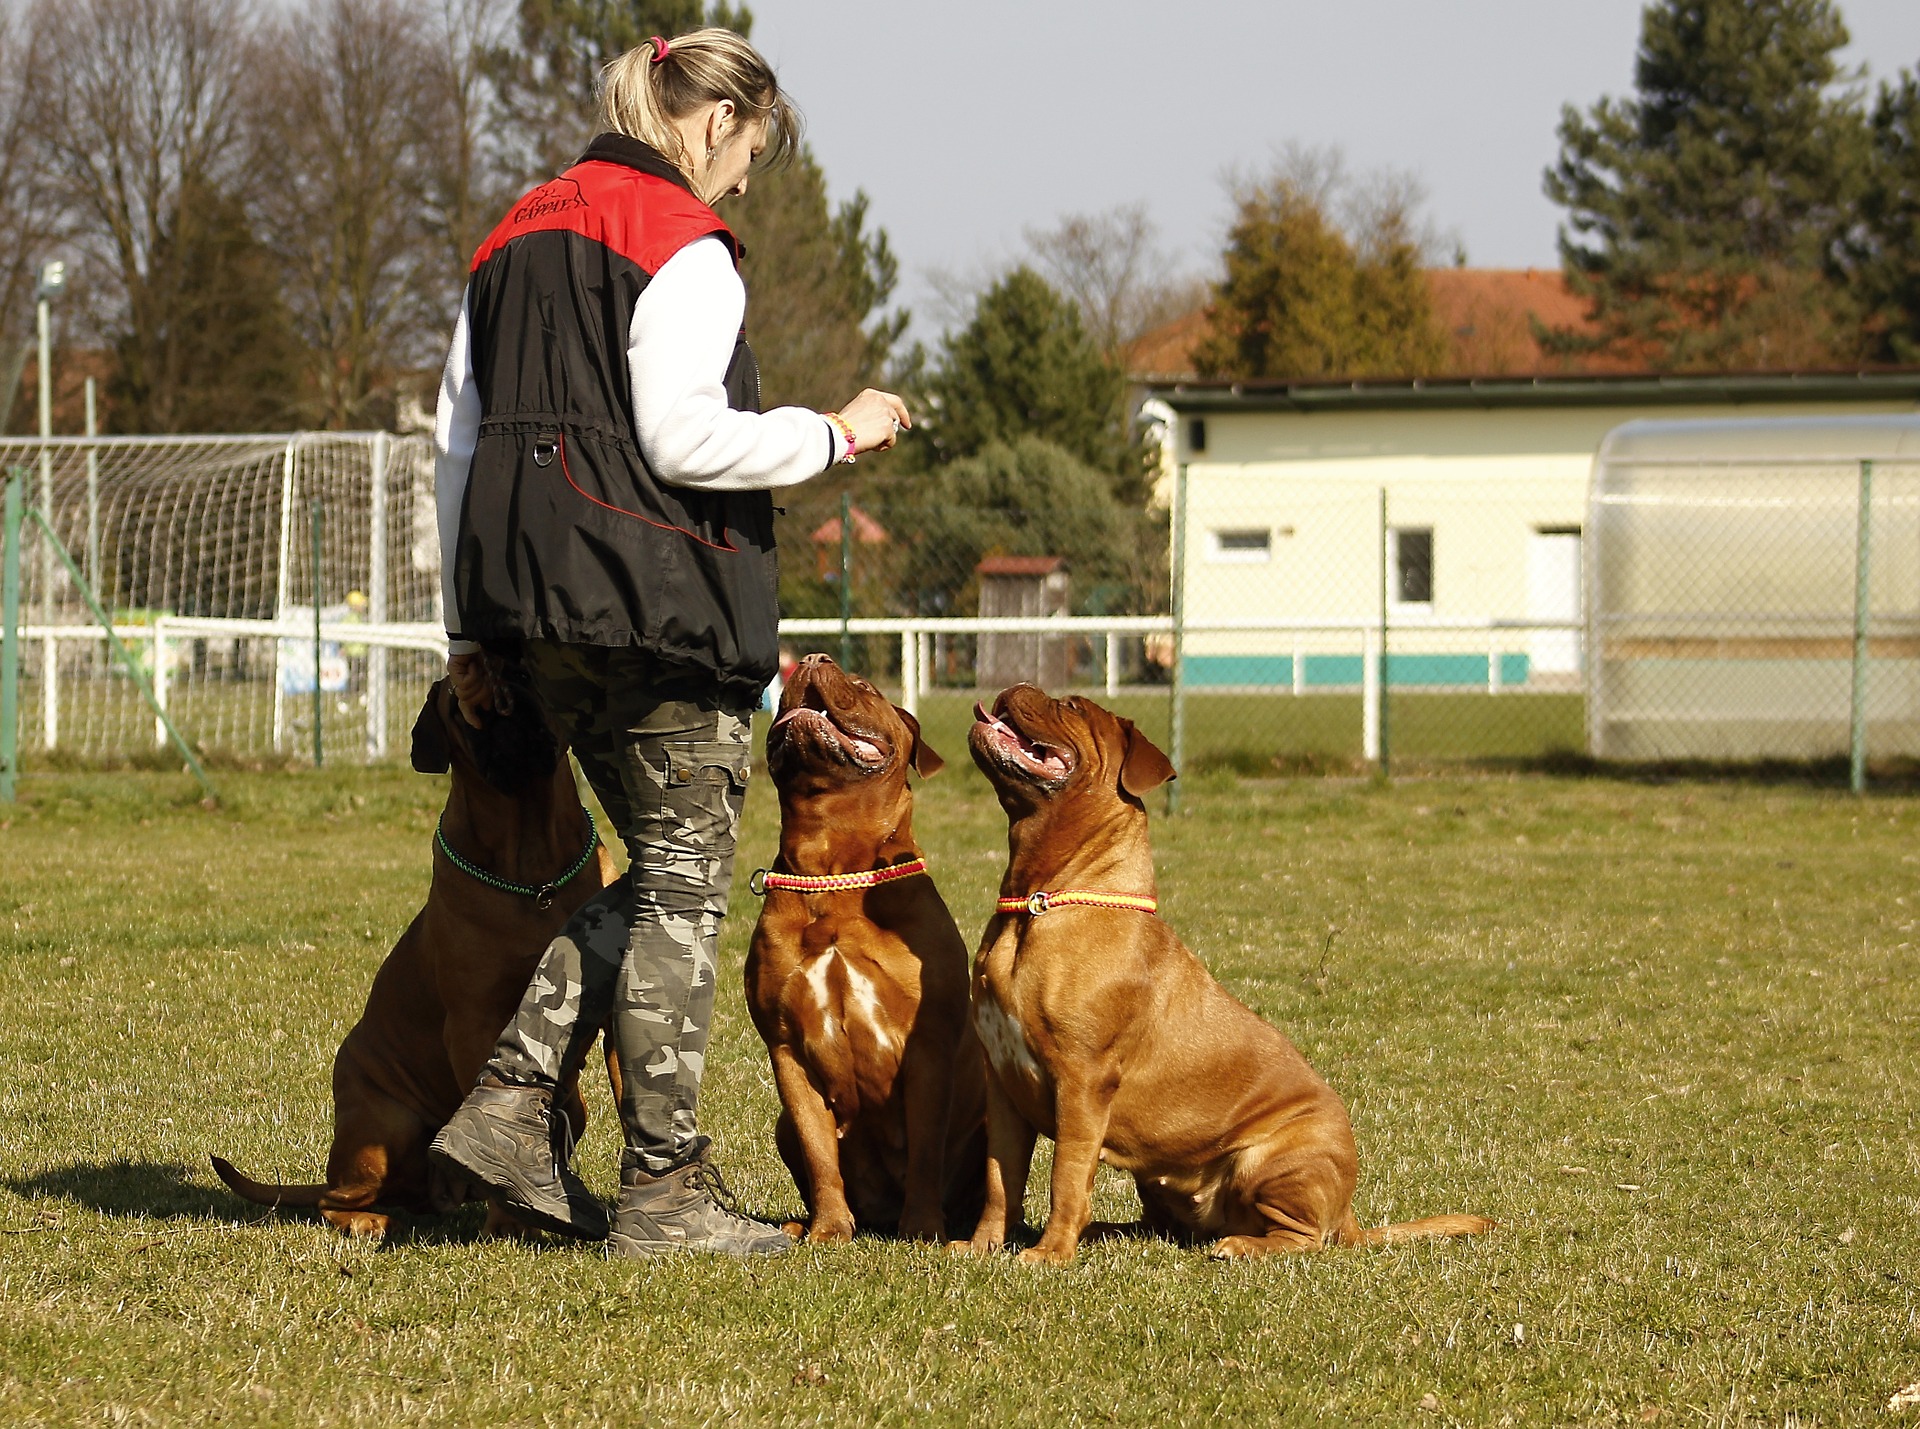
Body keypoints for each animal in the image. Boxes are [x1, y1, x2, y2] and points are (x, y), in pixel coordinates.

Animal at [212, 664, 614, 1236]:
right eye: (463, 711)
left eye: (526, 677)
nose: (508, 716)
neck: (534, 876)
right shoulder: (472, 1023)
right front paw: (510, 1221)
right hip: (390, 1124)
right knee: (332, 1200)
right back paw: (368, 1220)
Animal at [744, 656, 990, 1236]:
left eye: (864, 687)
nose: (813, 660)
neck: (834, 870)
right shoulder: (785, 1049)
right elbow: (819, 1153)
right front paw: (830, 1229)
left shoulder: (928, 1049)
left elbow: (924, 1151)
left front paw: (922, 1229)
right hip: (780, 1123)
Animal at [967, 687, 1489, 1259]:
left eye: (1074, 707)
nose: (1016, 686)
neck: (1036, 903)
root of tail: (1350, 1214)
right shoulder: (1001, 1084)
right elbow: (999, 1181)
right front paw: (980, 1247)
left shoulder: (1083, 1082)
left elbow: (1066, 1175)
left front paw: (1050, 1253)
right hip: (1160, 1180)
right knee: (1165, 1226)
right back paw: (1110, 1231)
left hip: (1273, 1159)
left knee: (1304, 1238)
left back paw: (1241, 1244)